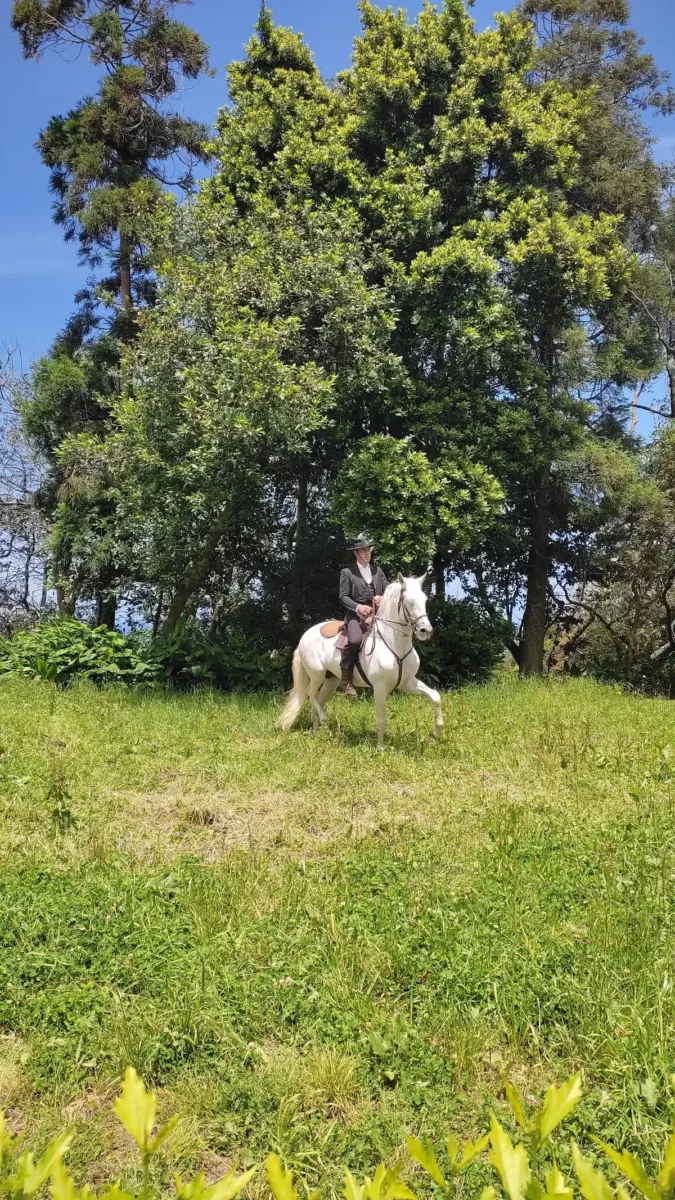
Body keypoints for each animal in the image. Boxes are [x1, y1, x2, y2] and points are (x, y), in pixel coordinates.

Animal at [276, 573, 444, 748]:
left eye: (424, 600)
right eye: (409, 601)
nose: (425, 630)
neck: (394, 644)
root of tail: (306, 634)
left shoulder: (407, 683)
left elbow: (435, 696)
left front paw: (436, 733)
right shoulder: (380, 688)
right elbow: (381, 720)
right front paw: (380, 748)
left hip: (331, 680)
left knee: (319, 700)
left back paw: (316, 734)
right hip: (316, 675)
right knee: (310, 693)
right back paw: (323, 719)